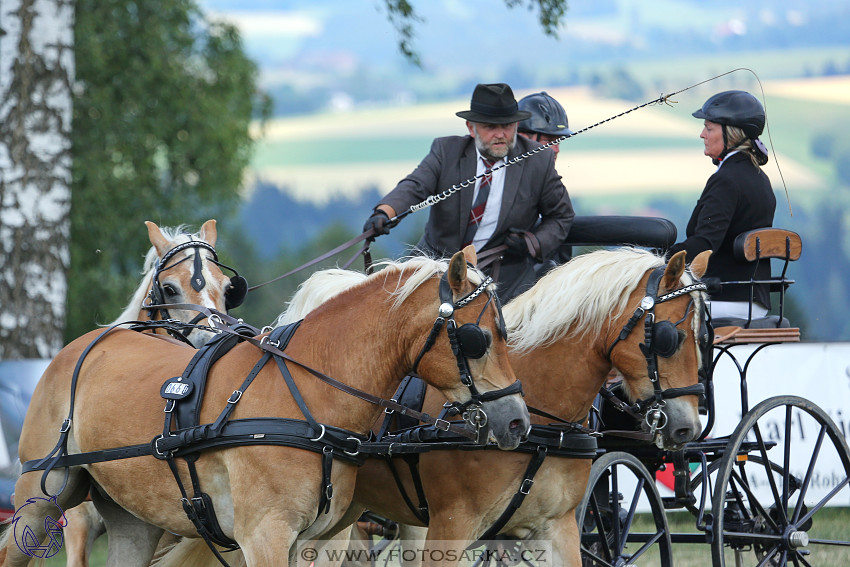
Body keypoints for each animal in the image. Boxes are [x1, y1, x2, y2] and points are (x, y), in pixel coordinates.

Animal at [0, 250, 528, 567]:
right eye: (478, 338)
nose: (518, 420)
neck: (309, 400)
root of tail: (89, 341)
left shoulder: (316, 541)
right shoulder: (264, 536)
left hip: (132, 518)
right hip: (41, 498)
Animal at [154, 248, 708, 567]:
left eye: (704, 334)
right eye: (670, 336)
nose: (687, 428)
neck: (541, 416)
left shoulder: (557, 528)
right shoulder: (453, 526)